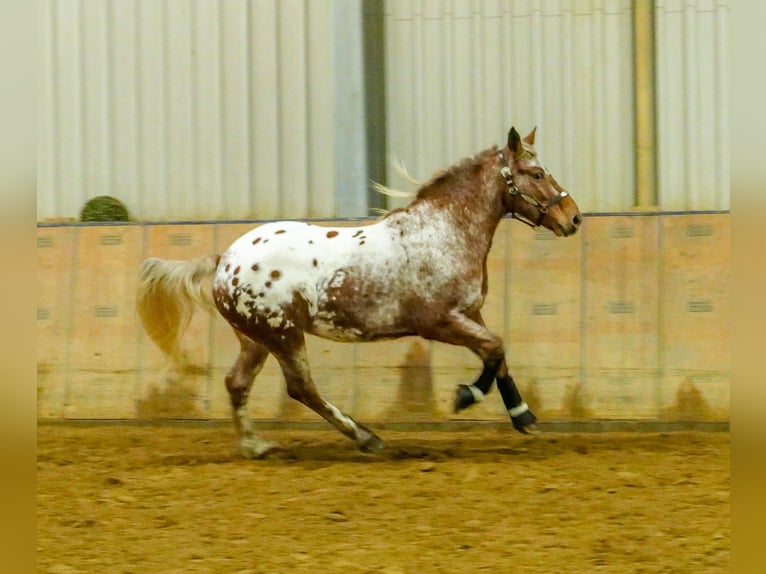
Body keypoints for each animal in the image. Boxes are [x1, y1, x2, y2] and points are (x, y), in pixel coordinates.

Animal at [138, 127, 584, 460]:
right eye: (537, 174)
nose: (574, 218)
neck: (443, 231)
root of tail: (224, 261)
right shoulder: (439, 322)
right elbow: (495, 348)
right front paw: (465, 396)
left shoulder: (470, 314)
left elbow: (498, 354)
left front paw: (524, 417)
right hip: (282, 334)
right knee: (300, 388)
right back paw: (367, 438)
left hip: (256, 339)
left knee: (237, 383)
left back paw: (256, 446)